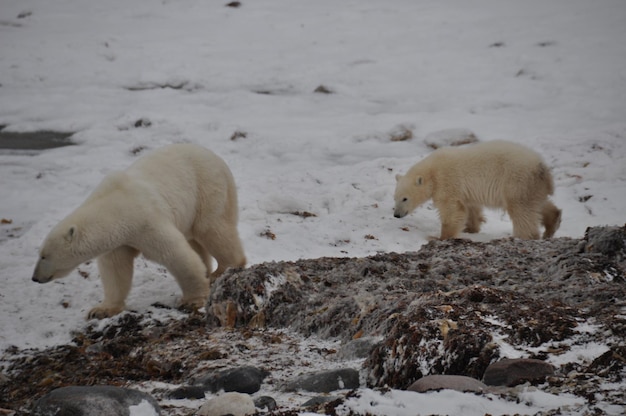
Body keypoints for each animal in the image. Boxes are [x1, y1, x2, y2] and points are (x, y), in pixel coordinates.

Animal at [33, 143, 245, 318]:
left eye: (44, 255)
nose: (35, 277)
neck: (116, 208)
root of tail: (216, 157)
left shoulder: (146, 221)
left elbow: (175, 254)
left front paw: (191, 300)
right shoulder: (118, 240)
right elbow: (115, 270)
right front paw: (101, 310)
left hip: (207, 188)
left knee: (211, 228)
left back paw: (223, 269)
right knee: (194, 238)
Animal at [390, 140, 560, 239]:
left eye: (405, 198)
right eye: (395, 198)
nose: (396, 215)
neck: (432, 170)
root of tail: (541, 167)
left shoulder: (447, 181)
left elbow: (451, 210)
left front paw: (444, 236)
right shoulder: (464, 191)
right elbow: (469, 207)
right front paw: (471, 228)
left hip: (516, 181)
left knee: (521, 210)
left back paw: (524, 236)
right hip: (531, 185)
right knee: (537, 204)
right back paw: (552, 225)